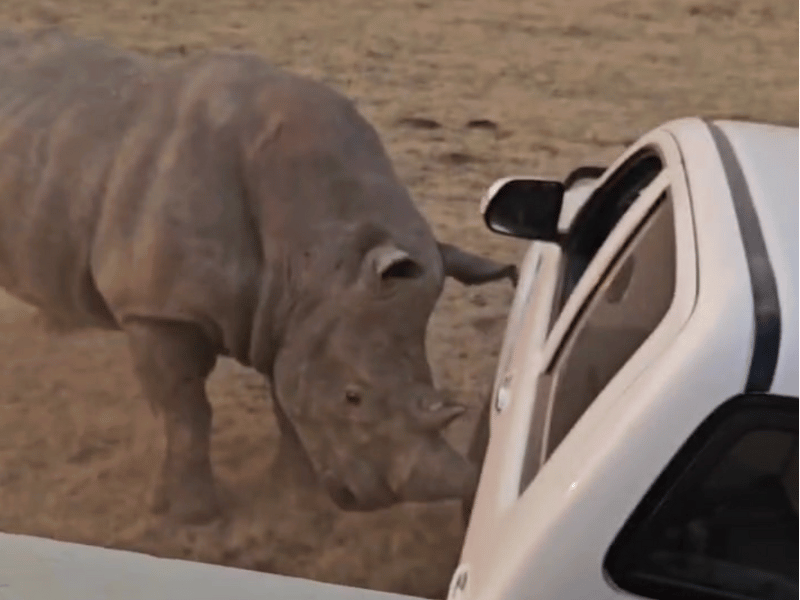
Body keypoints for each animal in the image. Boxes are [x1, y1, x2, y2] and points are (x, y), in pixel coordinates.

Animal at [0, 28, 516, 523]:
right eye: (353, 397)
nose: (375, 502)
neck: (319, 251)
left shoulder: (294, 311)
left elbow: (288, 401)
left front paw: (297, 501)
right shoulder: (157, 310)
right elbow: (185, 413)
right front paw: (192, 516)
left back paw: (58, 325)